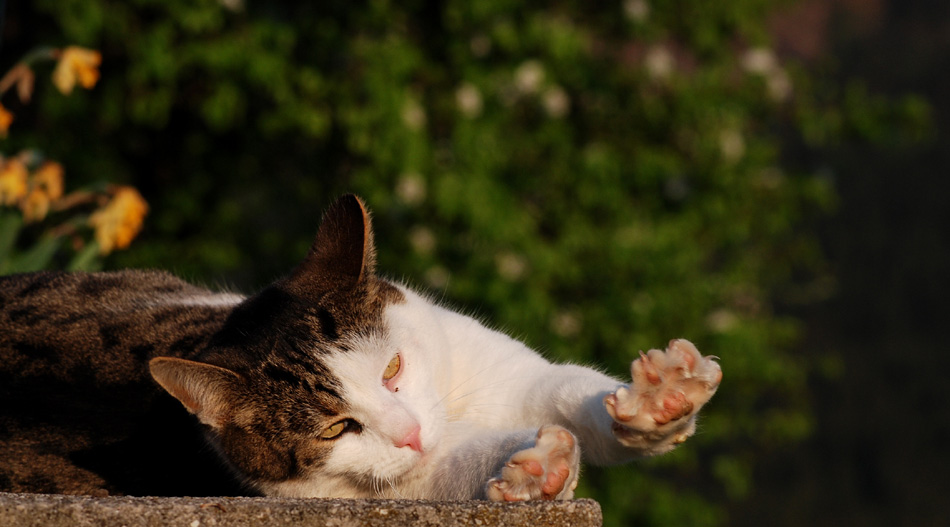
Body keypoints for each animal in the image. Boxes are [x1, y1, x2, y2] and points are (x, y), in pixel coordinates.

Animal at [0, 196, 724, 502]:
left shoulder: (502, 371)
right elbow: (452, 469)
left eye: (394, 367)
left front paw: (659, 402)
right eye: (335, 428)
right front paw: (532, 469)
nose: (409, 433)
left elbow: (568, 390)